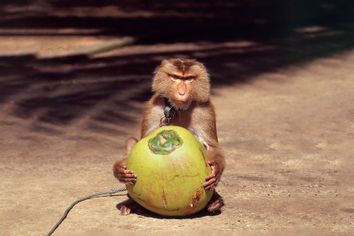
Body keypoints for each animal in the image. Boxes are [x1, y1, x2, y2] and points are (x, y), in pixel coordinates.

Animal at [113, 58, 224, 215]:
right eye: (176, 77)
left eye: (189, 79)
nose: (182, 92)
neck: (177, 110)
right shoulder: (153, 107)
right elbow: (141, 140)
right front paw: (119, 170)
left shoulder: (205, 110)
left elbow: (212, 146)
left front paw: (215, 170)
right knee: (131, 141)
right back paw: (132, 203)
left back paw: (215, 202)